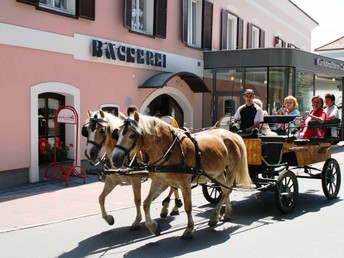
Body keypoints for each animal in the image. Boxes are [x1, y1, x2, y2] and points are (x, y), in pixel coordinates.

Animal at [111, 113, 251, 240]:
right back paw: (225, 214)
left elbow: (188, 207)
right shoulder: (160, 182)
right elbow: (146, 203)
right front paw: (153, 227)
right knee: (224, 190)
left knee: (226, 190)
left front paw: (189, 230)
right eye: (118, 134)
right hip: (218, 173)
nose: (114, 159)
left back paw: (214, 217)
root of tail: (233, 135)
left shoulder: (185, 184)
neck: (170, 150)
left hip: (231, 169)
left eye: (132, 135)